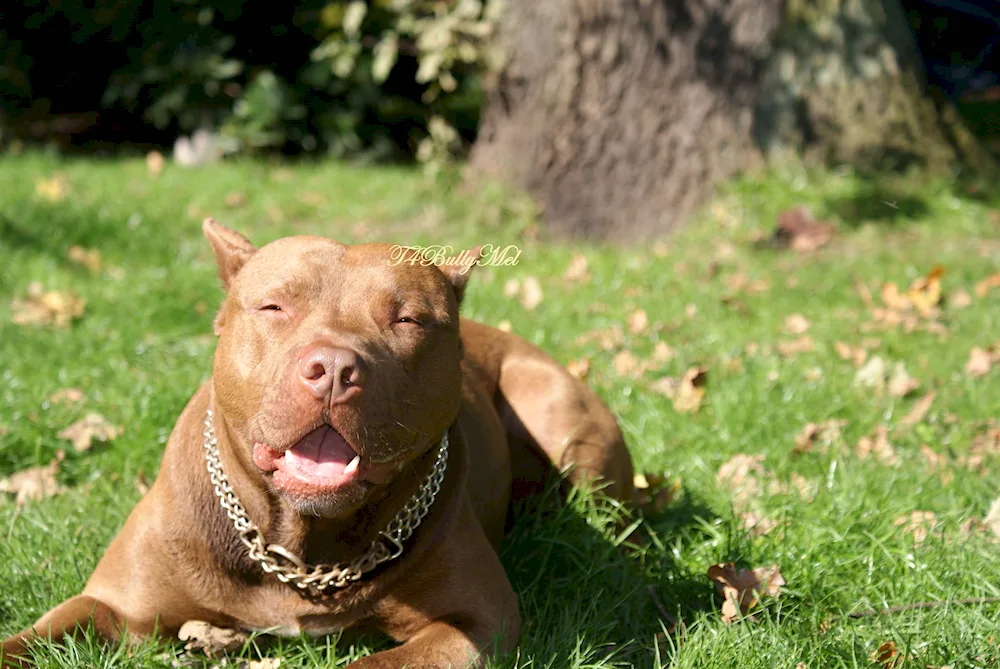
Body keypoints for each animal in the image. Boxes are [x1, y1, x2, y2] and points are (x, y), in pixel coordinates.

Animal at [1, 220, 632, 668]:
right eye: (274, 306)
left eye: (407, 320)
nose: (332, 369)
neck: (300, 551)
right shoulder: (111, 605)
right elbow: (27, 641)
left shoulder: (476, 619)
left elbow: (378, 665)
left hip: (563, 424)